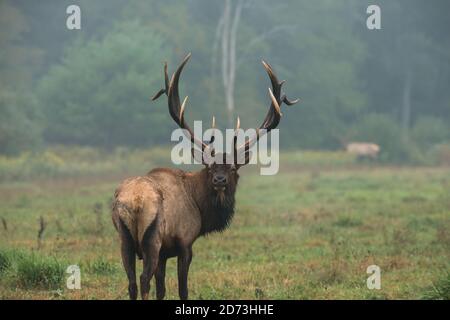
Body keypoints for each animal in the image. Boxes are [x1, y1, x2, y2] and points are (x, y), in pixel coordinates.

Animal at [110, 53, 298, 300]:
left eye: (233, 168)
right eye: (209, 168)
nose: (220, 180)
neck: (200, 208)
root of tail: (134, 201)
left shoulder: (164, 253)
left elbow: (162, 289)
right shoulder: (184, 242)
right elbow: (182, 289)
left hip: (124, 239)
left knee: (131, 282)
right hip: (152, 238)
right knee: (142, 280)